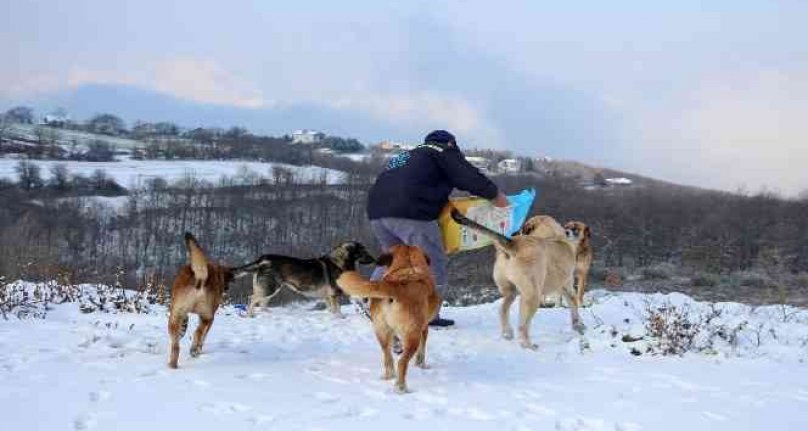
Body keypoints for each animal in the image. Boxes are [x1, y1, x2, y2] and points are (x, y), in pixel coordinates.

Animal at [166, 235, 232, 370]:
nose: (227, 287)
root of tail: (200, 278)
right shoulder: (210, 319)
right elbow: (204, 335)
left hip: (175, 316)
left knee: (176, 346)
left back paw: (173, 365)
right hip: (205, 315)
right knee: (198, 332)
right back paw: (194, 349)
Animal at [340, 245, 446, 394]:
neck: (408, 265)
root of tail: (396, 285)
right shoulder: (424, 328)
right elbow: (422, 351)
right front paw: (421, 365)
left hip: (382, 332)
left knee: (387, 357)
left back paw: (388, 377)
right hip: (412, 335)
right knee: (402, 362)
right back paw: (401, 388)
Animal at [454, 211, 580, 350]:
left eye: (523, 229)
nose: (514, 233)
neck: (551, 234)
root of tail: (513, 244)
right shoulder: (566, 285)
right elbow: (574, 303)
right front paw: (579, 326)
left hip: (511, 291)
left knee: (503, 310)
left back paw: (507, 333)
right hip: (532, 296)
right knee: (522, 325)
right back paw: (528, 344)